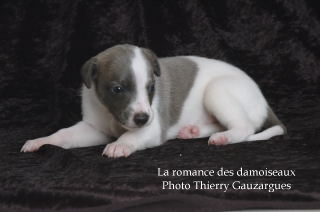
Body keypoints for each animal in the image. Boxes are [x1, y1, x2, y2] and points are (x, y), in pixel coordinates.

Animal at [22, 44, 288, 158]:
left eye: (151, 87)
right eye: (118, 89)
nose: (142, 118)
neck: (112, 116)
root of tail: (262, 98)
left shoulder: (153, 126)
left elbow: (133, 136)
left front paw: (120, 145)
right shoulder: (93, 128)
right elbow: (63, 135)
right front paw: (41, 141)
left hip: (218, 91)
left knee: (245, 127)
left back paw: (224, 137)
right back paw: (193, 130)